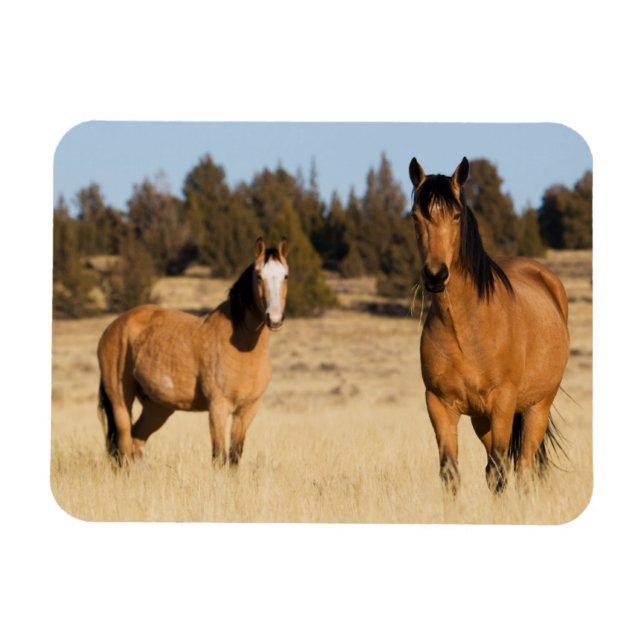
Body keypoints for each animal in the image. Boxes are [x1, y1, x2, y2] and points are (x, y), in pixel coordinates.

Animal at [97, 236, 289, 466]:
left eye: (286, 275)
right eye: (259, 276)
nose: (274, 319)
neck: (242, 345)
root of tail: (114, 326)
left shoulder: (247, 410)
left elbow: (234, 457)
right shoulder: (218, 408)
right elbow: (219, 457)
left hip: (157, 407)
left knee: (136, 441)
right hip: (120, 400)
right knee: (124, 447)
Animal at [408, 157, 569, 494]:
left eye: (456, 215)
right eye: (416, 217)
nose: (435, 275)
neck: (465, 328)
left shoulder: (503, 404)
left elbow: (499, 471)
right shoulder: (440, 405)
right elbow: (450, 472)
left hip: (537, 407)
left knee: (522, 467)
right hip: (481, 419)